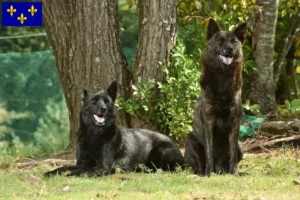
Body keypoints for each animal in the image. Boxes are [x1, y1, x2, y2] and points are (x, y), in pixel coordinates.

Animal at [44, 80, 183, 177]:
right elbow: (65, 167)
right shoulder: (82, 163)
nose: (103, 109)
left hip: (161, 151)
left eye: (107, 102)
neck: (94, 135)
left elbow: (83, 172)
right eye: (93, 101)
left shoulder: (102, 167)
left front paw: (70, 175)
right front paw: (51, 173)